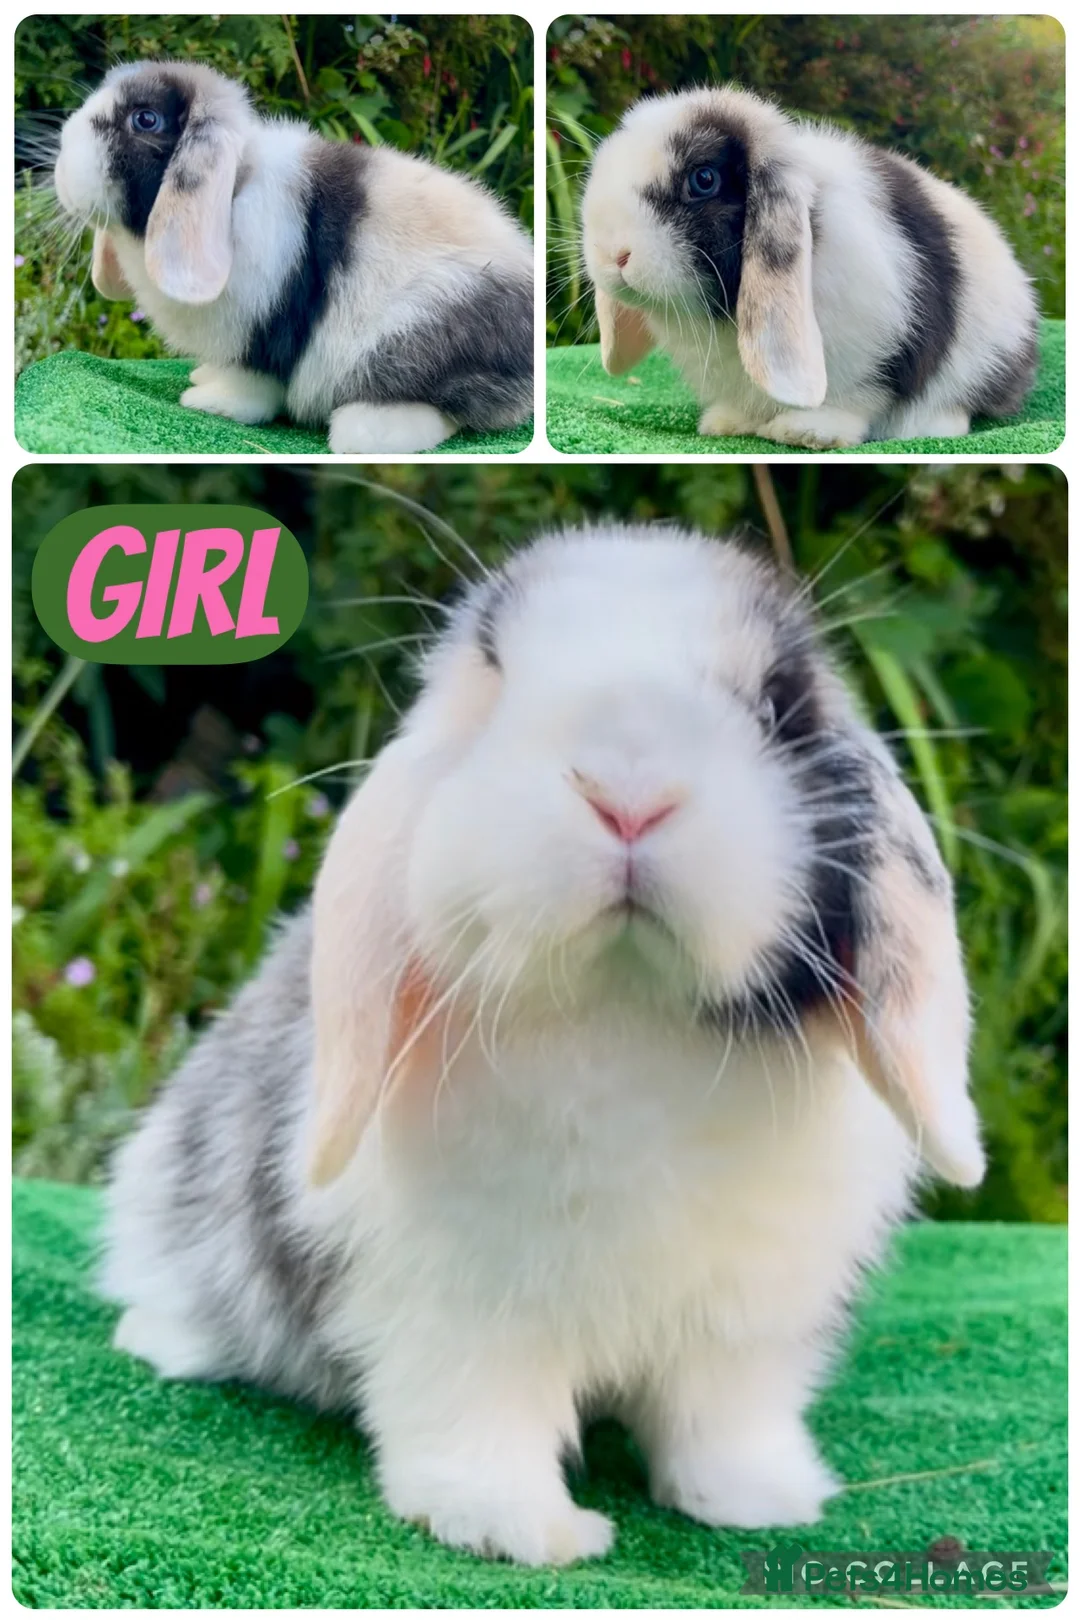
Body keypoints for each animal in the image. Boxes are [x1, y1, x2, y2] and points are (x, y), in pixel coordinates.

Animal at [52, 61, 534, 453]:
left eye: (145, 119)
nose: (60, 168)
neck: (235, 190)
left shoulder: (264, 326)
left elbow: (252, 379)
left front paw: (210, 402)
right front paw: (204, 378)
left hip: (413, 337)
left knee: (444, 406)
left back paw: (363, 432)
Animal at [101, 524, 985, 1566]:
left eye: (779, 703)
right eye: (492, 685)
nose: (629, 790)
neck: (625, 1013)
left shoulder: (745, 1331)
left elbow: (723, 1421)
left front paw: (760, 1501)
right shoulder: (460, 1316)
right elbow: (479, 1421)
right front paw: (518, 1530)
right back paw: (156, 1341)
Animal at [581, 86, 1038, 447]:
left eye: (704, 179)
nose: (612, 253)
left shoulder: (875, 353)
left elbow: (856, 400)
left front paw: (807, 432)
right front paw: (728, 423)